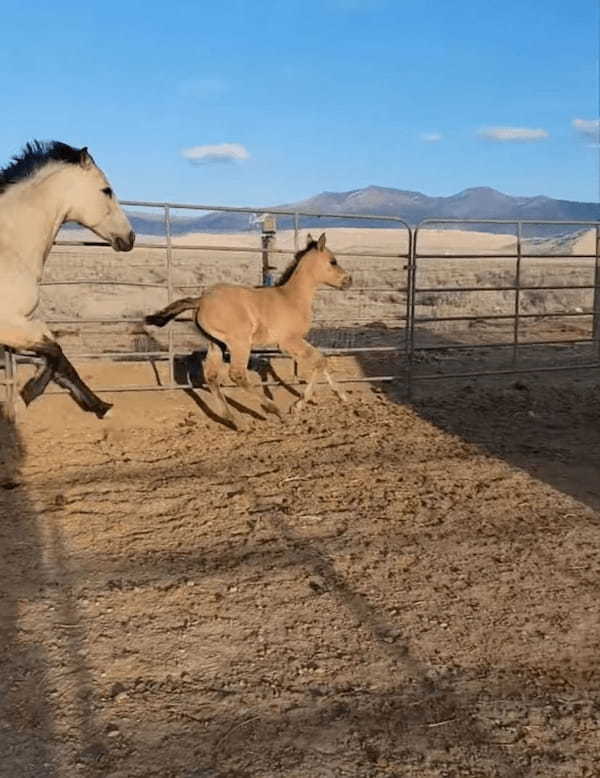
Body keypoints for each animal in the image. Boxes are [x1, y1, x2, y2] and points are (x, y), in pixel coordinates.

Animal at [0, 142, 135, 416]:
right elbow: (54, 352)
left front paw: (100, 406)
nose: (130, 237)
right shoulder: (10, 324)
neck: (10, 248)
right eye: (106, 190)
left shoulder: (24, 323)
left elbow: (60, 359)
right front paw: (23, 398)